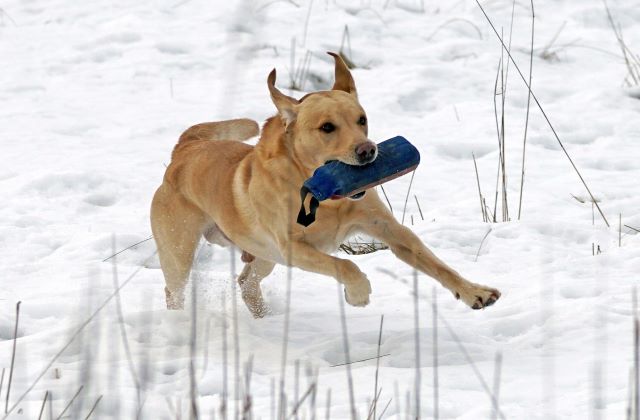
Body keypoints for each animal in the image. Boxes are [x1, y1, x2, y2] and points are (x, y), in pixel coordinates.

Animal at [150, 52, 500, 317]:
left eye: (362, 120)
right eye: (327, 127)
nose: (368, 150)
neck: (327, 196)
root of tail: (186, 149)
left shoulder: (389, 230)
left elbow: (437, 264)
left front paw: (474, 292)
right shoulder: (293, 249)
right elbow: (345, 265)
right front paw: (358, 293)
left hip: (263, 256)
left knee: (246, 282)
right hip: (180, 253)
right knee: (173, 290)